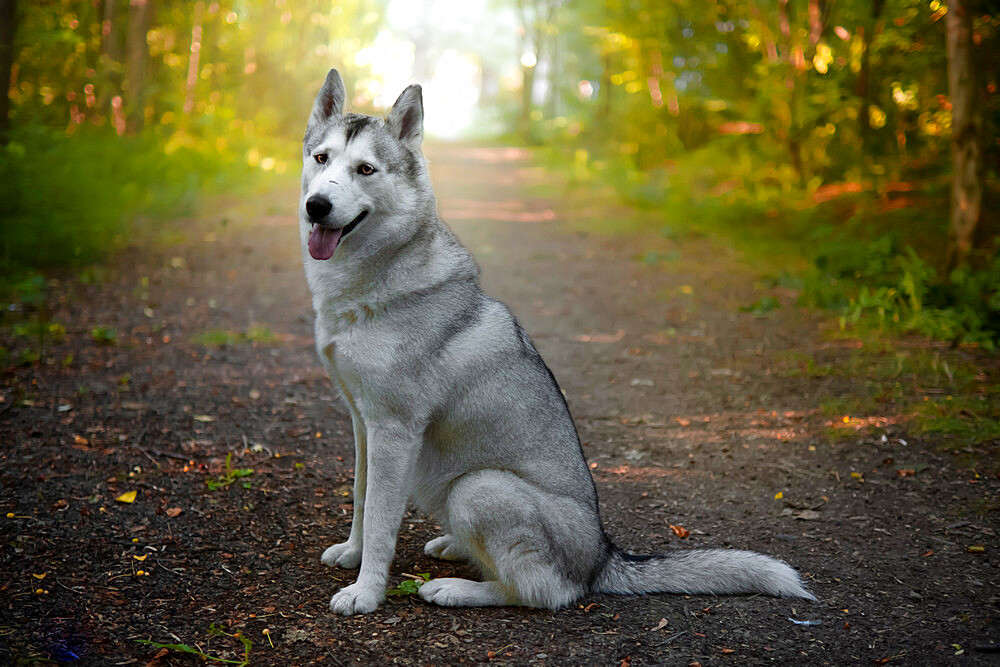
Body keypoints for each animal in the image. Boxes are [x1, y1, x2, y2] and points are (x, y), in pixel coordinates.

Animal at [296, 69, 812, 616]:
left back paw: (458, 588)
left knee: (542, 591)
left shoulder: (392, 430)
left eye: (365, 169)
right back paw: (455, 548)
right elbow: (361, 497)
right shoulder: (363, 423)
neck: (369, 281)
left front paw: (367, 590)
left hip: (478, 488)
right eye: (322, 159)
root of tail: (603, 557)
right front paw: (353, 554)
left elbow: (380, 519)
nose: (317, 206)